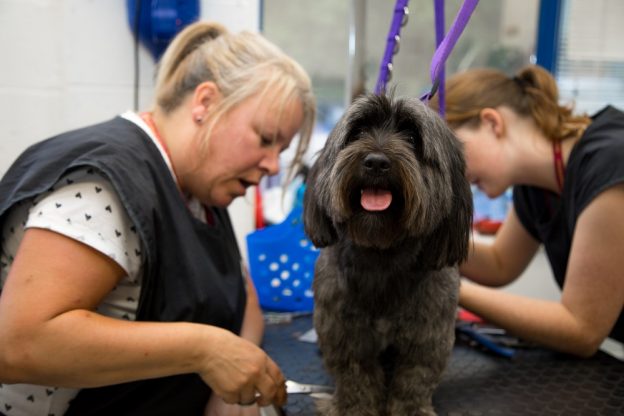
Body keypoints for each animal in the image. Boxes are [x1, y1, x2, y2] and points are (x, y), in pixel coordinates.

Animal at [304, 94, 472, 416]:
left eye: (412, 137)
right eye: (357, 132)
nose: (376, 162)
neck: (382, 257)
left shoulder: (428, 335)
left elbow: (414, 379)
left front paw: (410, 410)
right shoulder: (345, 333)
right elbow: (355, 378)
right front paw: (354, 409)